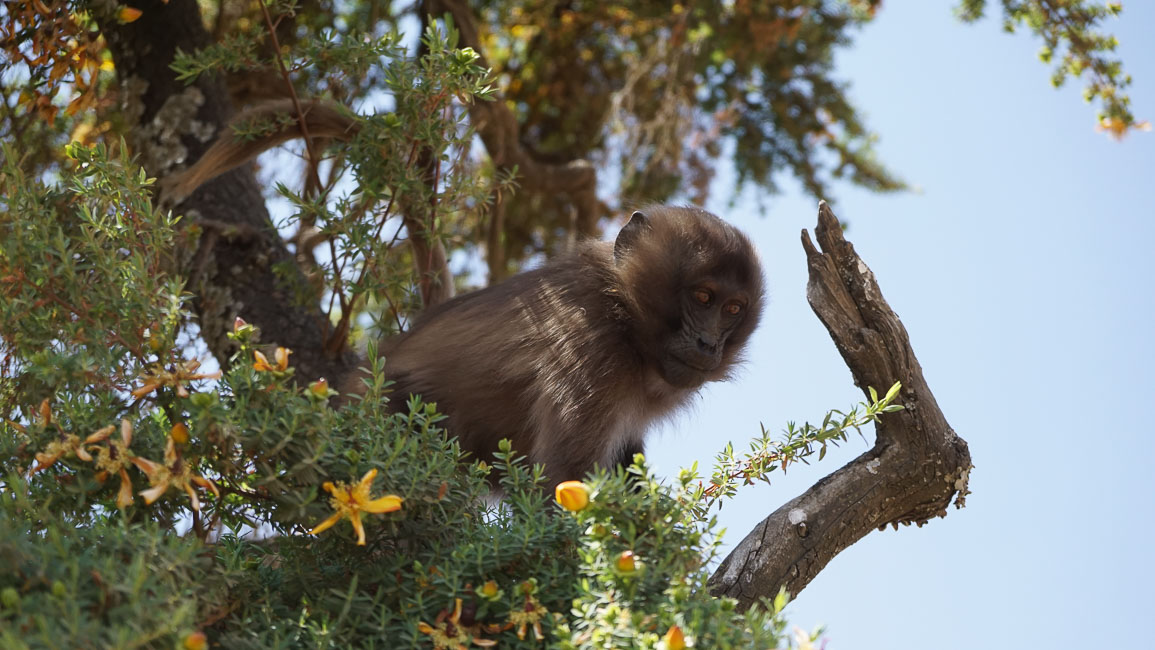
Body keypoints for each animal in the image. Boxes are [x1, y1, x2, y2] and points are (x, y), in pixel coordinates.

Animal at [158, 100, 762, 489]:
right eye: (702, 298)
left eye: (733, 309)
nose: (709, 345)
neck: (625, 315)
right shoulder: (593, 350)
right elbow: (563, 484)